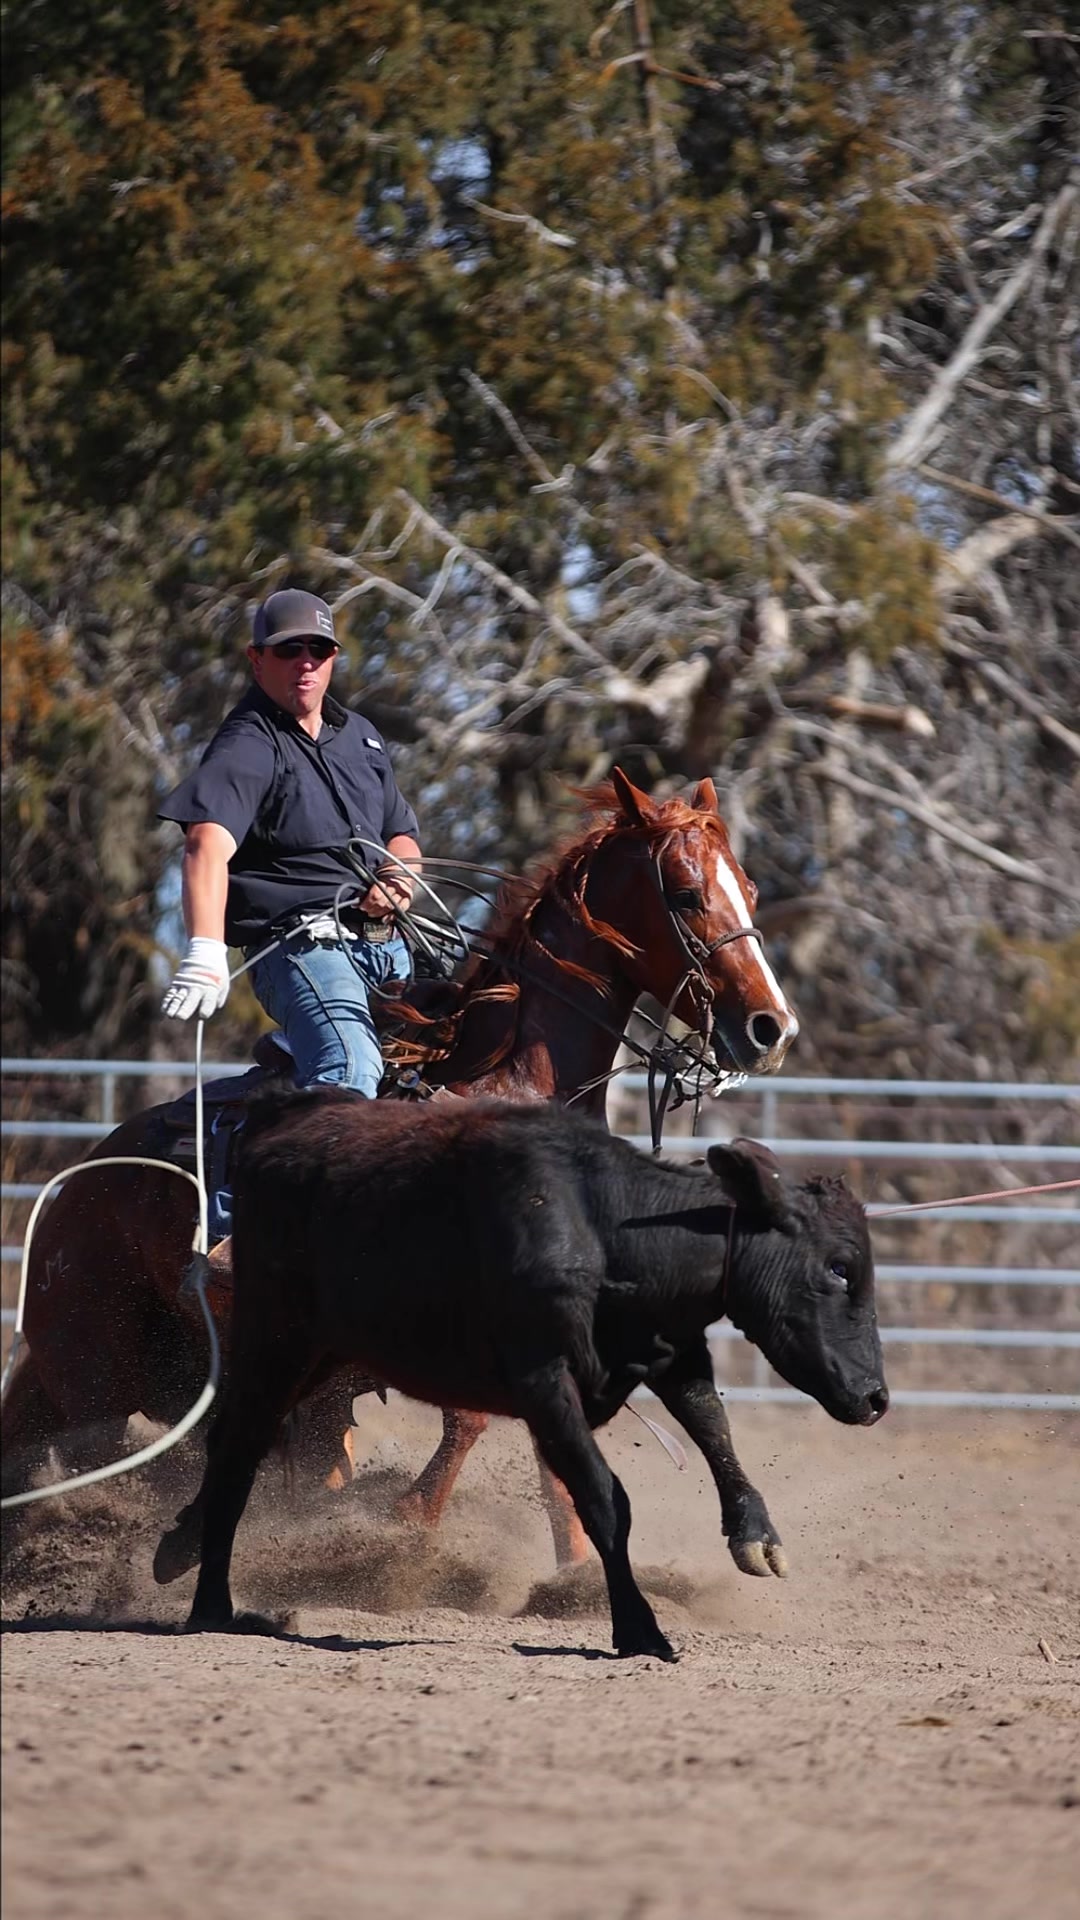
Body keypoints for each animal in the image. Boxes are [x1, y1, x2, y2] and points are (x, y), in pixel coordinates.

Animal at [2, 768, 799, 1571]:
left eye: (750, 889)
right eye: (686, 893)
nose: (773, 1029)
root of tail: (83, 1176)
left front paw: (588, 1569)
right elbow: (472, 1424)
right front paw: (404, 1534)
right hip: (96, 1371)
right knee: (117, 1459)